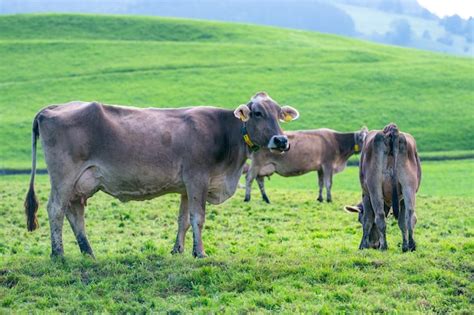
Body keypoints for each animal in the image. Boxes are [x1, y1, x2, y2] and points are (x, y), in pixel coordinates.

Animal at [24, 92, 298, 260]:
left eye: (278, 113)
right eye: (258, 113)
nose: (281, 140)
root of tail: (54, 107)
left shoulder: (186, 187)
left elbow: (183, 220)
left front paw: (178, 250)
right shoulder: (197, 178)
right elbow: (198, 218)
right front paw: (200, 253)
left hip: (81, 183)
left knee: (75, 213)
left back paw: (88, 252)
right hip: (63, 177)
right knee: (55, 209)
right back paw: (58, 253)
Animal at [344, 124, 422, 253]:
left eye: (359, 219)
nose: (373, 245)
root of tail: (391, 130)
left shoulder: (366, 194)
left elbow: (368, 219)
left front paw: (363, 245)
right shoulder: (401, 198)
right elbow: (402, 222)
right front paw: (404, 246)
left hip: (374, 186)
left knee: (379, 216)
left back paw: (384, 246)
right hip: (409, 185)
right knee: (410, 215)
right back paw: (411, 245)